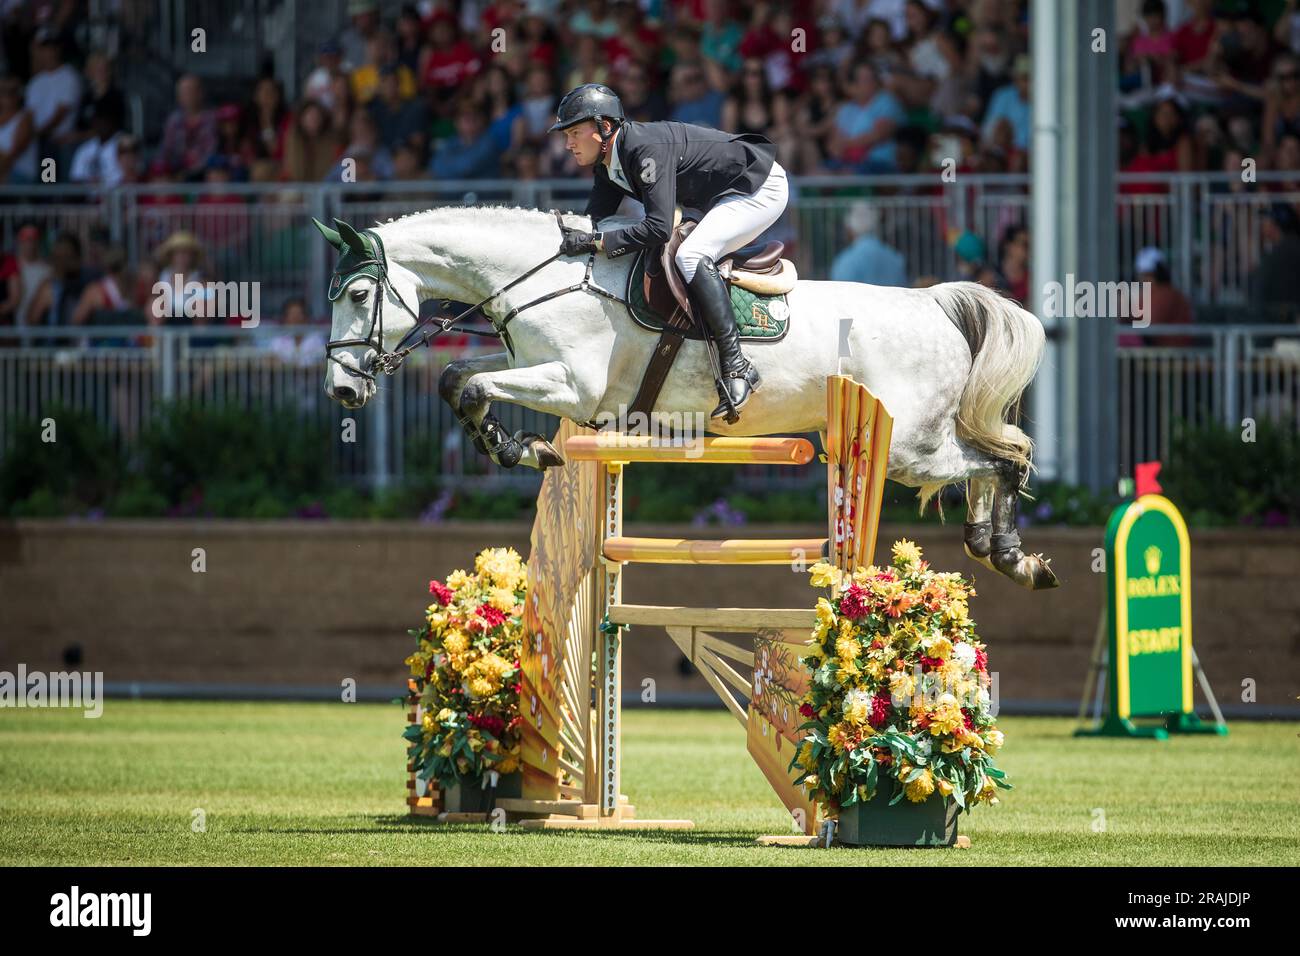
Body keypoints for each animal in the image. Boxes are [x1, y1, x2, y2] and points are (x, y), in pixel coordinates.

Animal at [314, 205, 1055, 587]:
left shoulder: (571, 383)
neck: (541, 276)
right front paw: (516, 446)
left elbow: (468, 384)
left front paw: (520, 448)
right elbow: (456, 380)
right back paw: (994, 547)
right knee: (986, 462)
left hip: (905, 448)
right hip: (911, 443)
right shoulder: (540, 372)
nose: (342, 389)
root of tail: (934, 304)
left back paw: (1012, 555)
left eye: (359, 294)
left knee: (1003, 457)